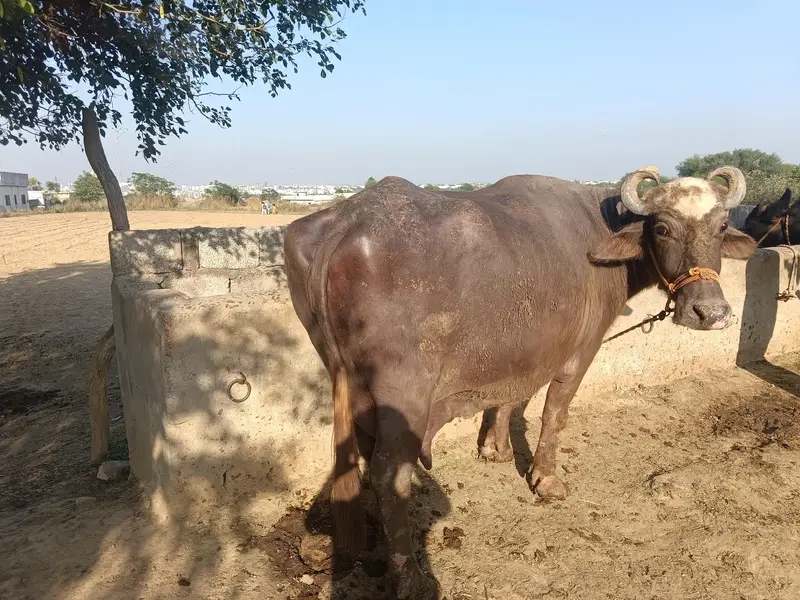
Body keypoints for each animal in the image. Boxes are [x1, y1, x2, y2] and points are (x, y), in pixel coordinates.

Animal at [283, 166, 757, 599]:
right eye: (662, 228)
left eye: (721, 228)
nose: (710, 312)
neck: (599, 228)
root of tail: (345, 225)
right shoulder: (578, 353)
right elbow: (554, 414)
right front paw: (545, 479)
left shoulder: (528, 351)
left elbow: (511, 397)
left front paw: (495, 448)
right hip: (405, 396)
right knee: (389, 475)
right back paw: (412, 579)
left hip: (354, 388)